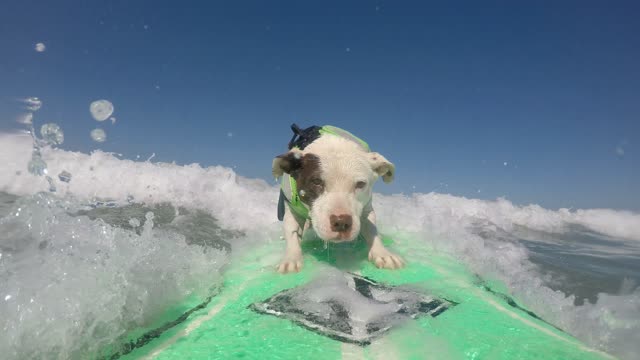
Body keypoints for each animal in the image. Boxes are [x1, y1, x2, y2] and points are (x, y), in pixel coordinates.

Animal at [272, 125, 404, 274]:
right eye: (316, 182)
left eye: (360, 184)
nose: (341, 222)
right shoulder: (292, 209)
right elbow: (292, 233)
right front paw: (291, 258)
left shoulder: (366, 209)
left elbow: (371, 230)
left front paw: (382, 253)